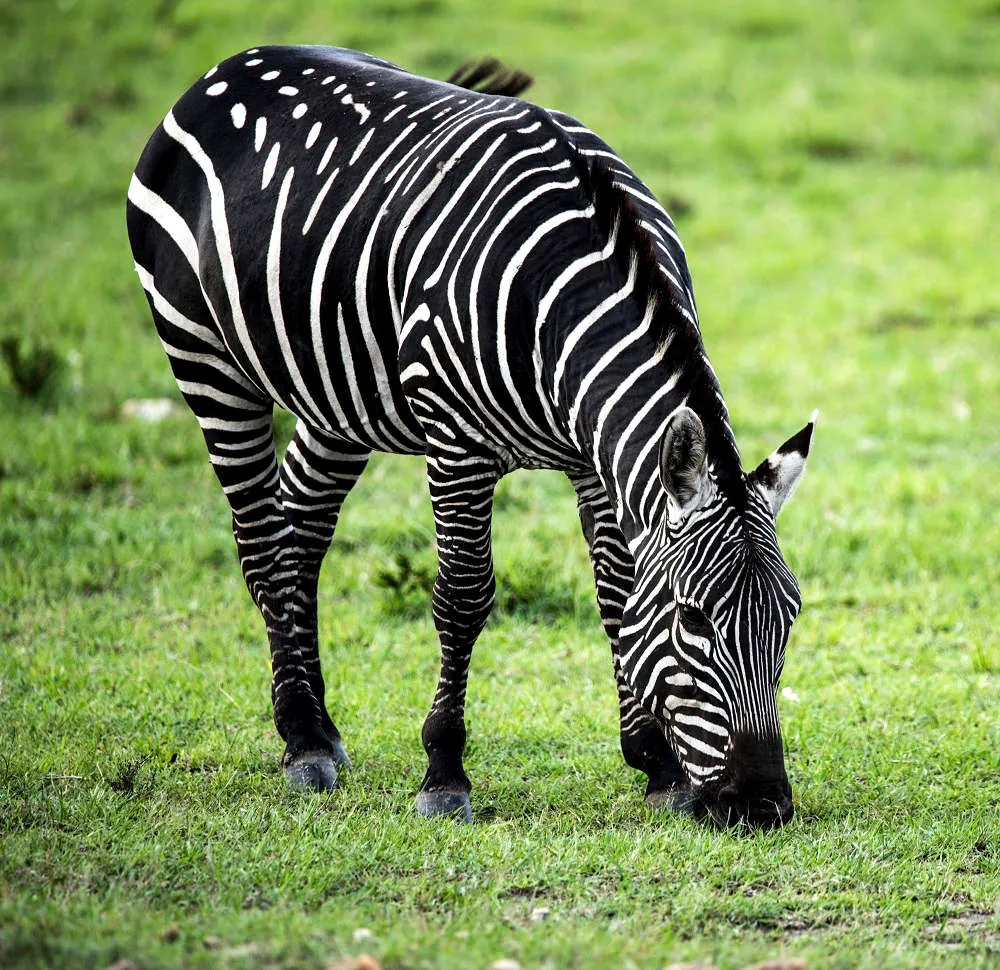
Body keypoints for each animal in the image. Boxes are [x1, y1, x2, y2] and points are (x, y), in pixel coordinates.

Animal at [126, 46, 815, 829]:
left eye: (789, 620)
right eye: (695, 620)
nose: (761, 805)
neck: (567, 300)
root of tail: (232, 65)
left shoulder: (592, 461)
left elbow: (616, 596)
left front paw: (656, 765)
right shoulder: (457, 447)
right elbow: (462, 598)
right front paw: (444, 772)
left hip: (338, 393)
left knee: (299, 525)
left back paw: (318, 729)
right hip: (205, 356)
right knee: (261, 541)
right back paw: (300, 743)